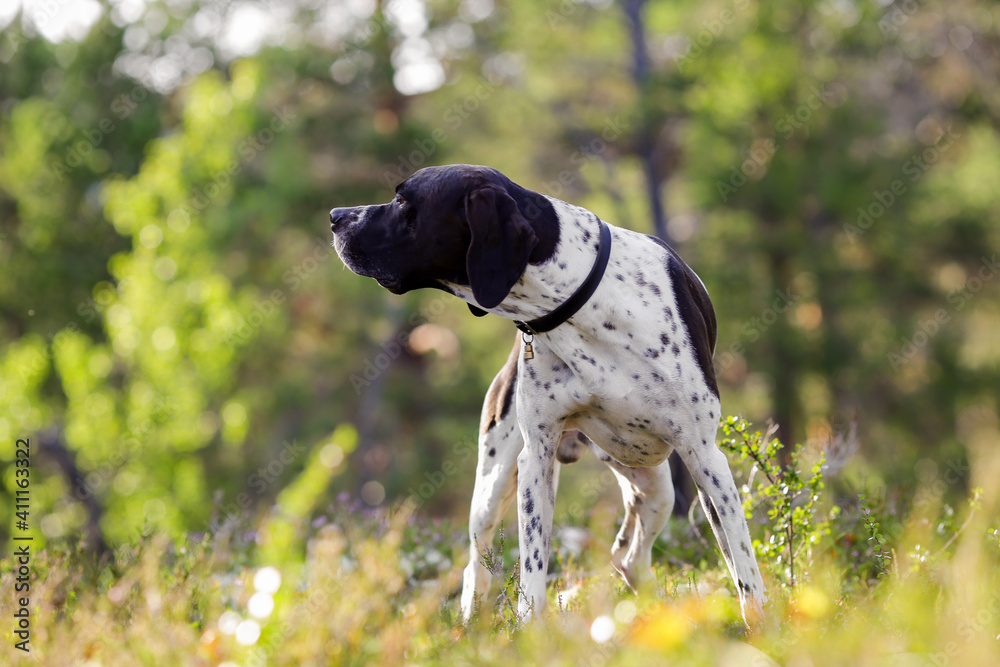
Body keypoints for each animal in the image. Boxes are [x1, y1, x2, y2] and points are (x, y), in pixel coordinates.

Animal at [332, 162, 768, 628]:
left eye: (402, 201)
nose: (336, 216)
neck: (581, 302)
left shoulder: (704, 456)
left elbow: (742, 559)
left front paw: (762, 624)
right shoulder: (536, 459)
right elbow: (533, 565)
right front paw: (530, 629)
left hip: (656, 485)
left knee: (630, 554)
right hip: (494, 486)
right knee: (476, 566)